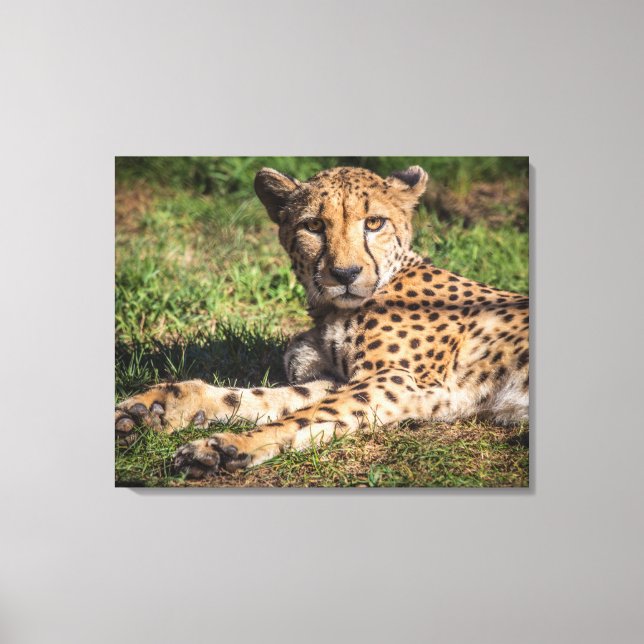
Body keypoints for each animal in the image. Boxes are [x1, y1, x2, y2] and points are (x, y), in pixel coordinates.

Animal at [115, 165, 529, 479]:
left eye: (374, 223)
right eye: (314, 226)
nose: (345, 273)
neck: (330, 309)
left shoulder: (402, 381)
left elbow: (307, 415)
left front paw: (226, 446)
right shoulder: (339, 379)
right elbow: (265, 398)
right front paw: (157, 407)